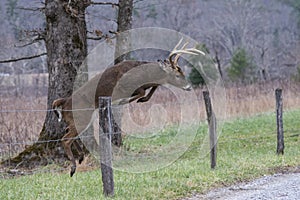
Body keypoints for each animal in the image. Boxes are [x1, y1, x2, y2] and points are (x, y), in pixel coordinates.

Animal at [52, 39, 205, 177]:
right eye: (177, 75)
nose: (189, 87)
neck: (143, 74)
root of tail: (64, 102)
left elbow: (153, 87)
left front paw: (143, 99)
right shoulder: (123, 86)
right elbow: (142, 91)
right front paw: (124, 101)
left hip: (79, 119)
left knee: (68, 132)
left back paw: (80, 157)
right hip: (82, 117)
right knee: (65, 139)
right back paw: (72, 168)